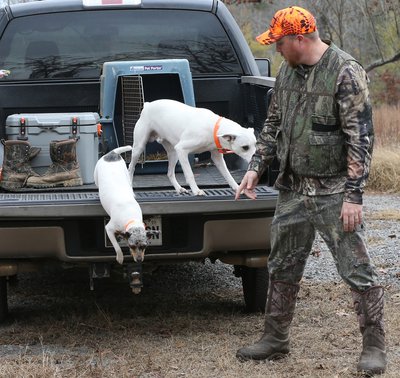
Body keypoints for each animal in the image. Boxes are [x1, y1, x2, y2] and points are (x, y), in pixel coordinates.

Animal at [128, 99, 256, 196]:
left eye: (256, 144)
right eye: (245, 147)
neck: (213, 127)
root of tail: (148, 105)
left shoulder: (217, 157)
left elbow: (228, 175)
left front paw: (237, 188)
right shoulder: (182, 150)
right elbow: (189, 174)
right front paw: (196, 190)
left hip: (173, 153)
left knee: (170, 173)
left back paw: (179, 188)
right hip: (139, 148)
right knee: (131, 168)